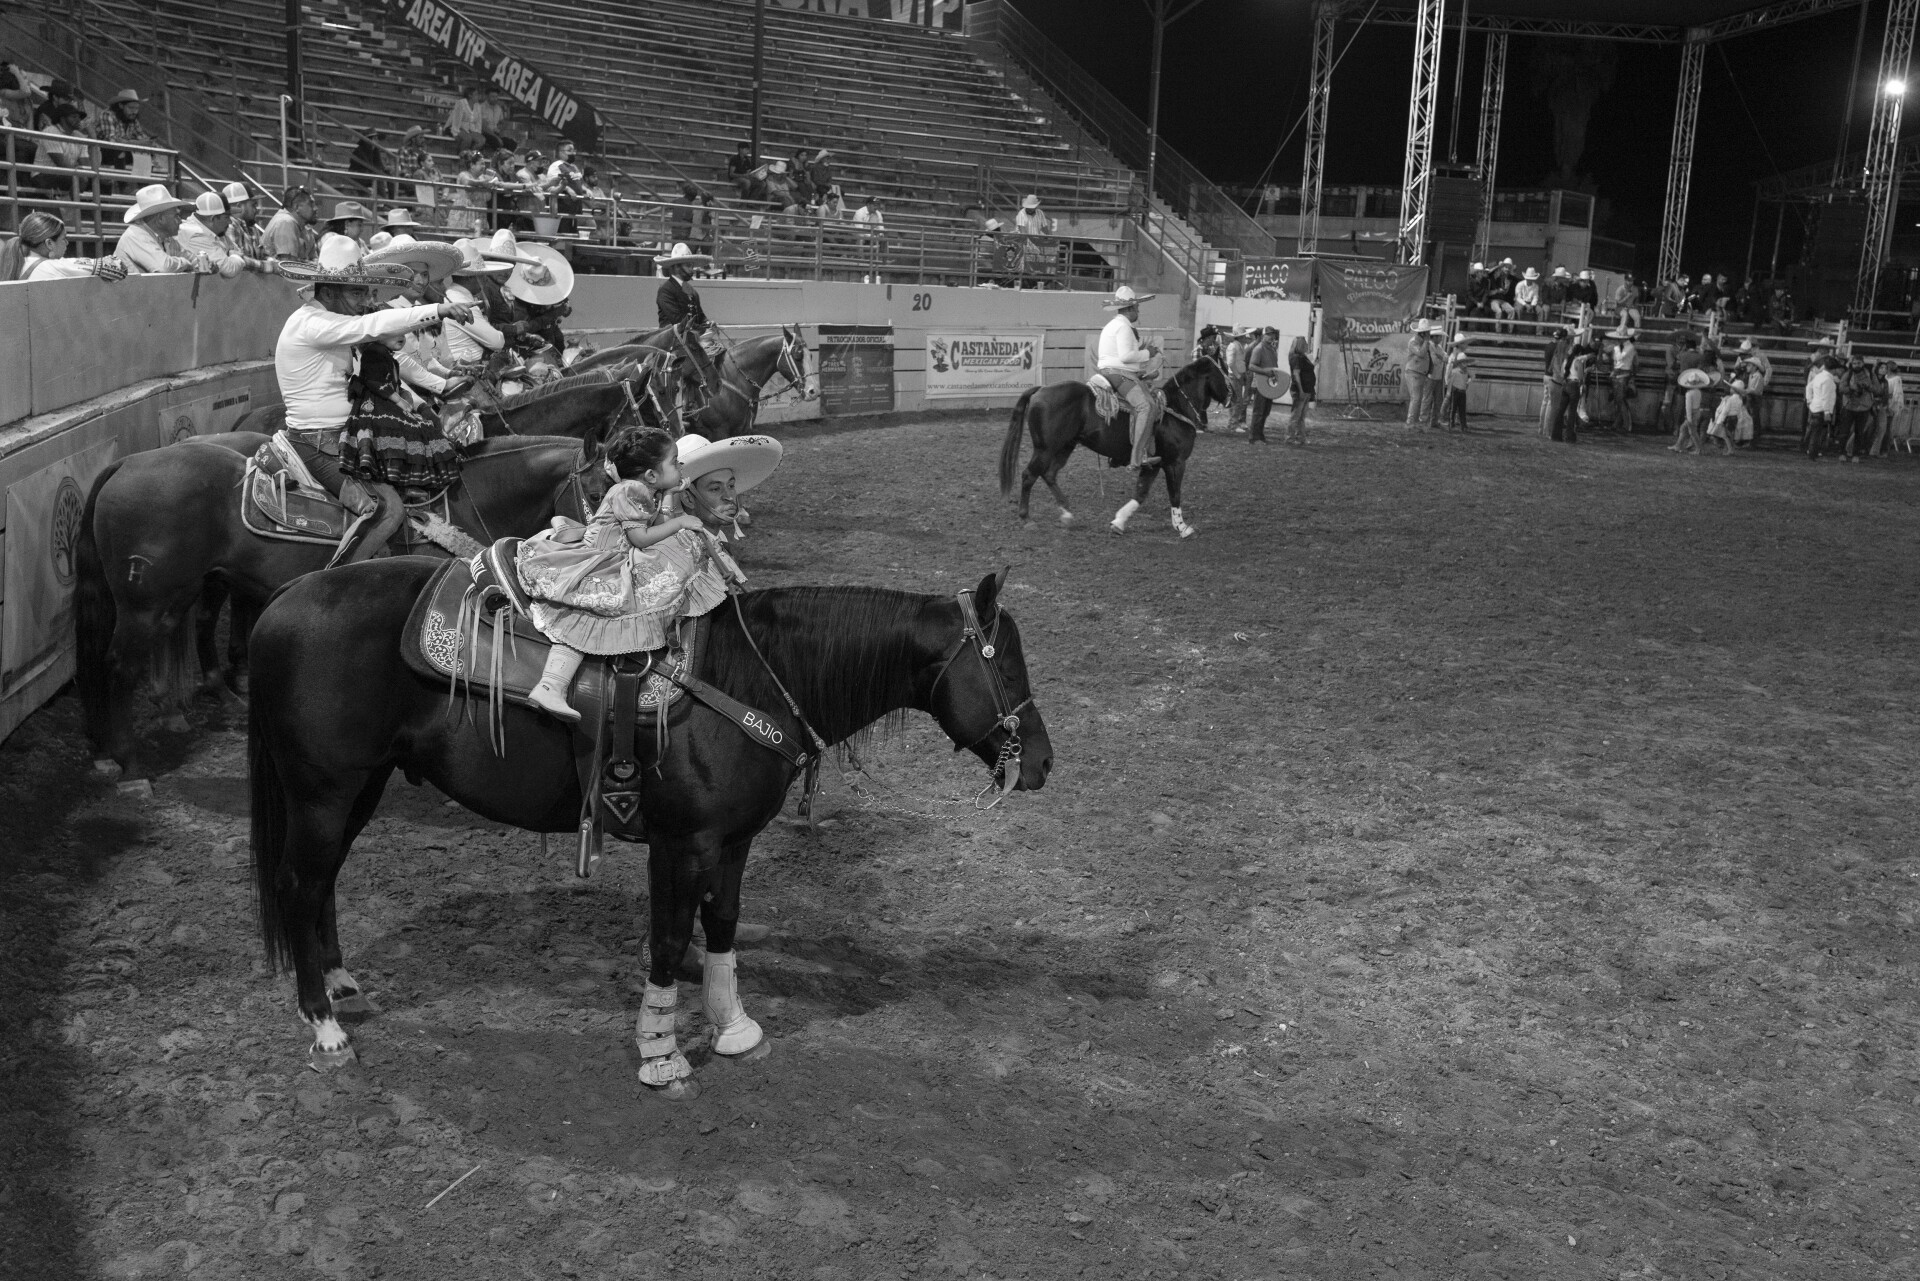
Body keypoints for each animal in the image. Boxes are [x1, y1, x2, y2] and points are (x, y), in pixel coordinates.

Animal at [72, 426, 614, 775]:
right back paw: (132, 762)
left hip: (182, 590)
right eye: (595, 490)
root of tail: (126, 462)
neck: (454, 506)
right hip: (149, 602)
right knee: (121, 664)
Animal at [247, 564, 1059, 1098]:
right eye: (1006, 664)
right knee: (298, 881)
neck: (748, 676)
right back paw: (324, 1026)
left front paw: (733, 1027)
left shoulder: (732, 840)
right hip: (323, 791)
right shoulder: (683, 843)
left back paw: (341, 983)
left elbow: (723, 925)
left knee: (323, 879)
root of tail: (284, 597)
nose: (1044, 761)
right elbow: (670, 940)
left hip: (359, 787)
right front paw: (661, 1054)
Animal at [990, 355, 1228, 541]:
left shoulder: (1154, 464)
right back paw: (1026, 518)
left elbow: (1140, 493)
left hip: (1065, 446)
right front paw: (1182, 527)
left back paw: (1067, 514)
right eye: (1223, 370)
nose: (1230, 396)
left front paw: (1119, 522)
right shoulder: (1175, 462)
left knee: (1049, 474)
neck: (1175, 408)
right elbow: (1175, 494)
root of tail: (1041, 390)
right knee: (1029, 475)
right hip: (1045, 449)